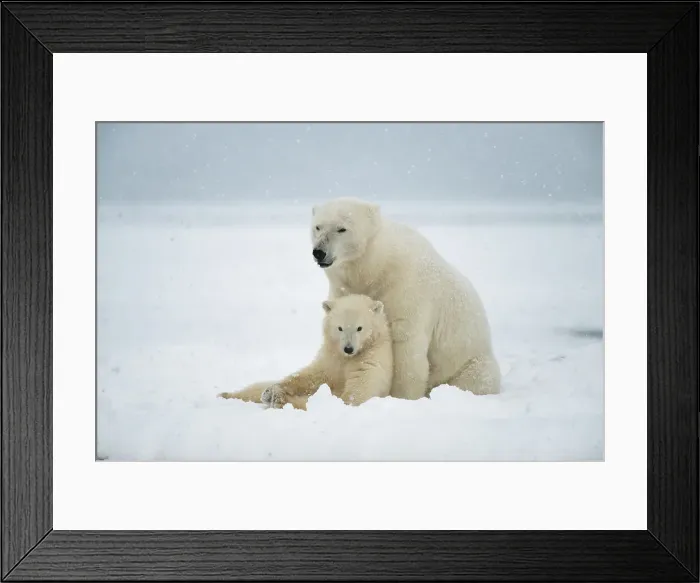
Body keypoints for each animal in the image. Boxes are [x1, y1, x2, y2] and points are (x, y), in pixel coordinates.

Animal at [218, 294, 393, 410]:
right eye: (340, 328)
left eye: (359, 328)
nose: (348, 348)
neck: (347, 358)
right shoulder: (329, 360)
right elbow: (310, 376)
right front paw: (273, 391)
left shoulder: (371, 362)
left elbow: (355, 394)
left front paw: (279, 398)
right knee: (254, 388)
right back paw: (226, 395)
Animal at [309, 196, 501, 400]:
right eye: (318, 227)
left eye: (342, 228)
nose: (319, 252)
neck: (376, 268)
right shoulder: (345, 290)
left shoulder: (406, 290)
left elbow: (407, 347)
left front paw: (402, 397)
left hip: (471, 361)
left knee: (478, 378)